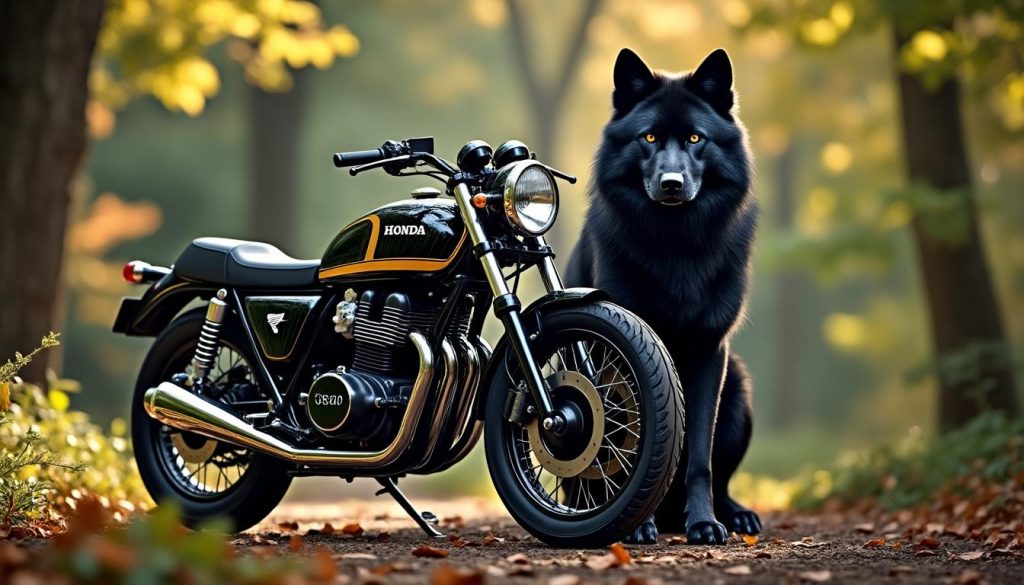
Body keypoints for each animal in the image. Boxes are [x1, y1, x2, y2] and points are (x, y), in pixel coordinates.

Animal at [565, 48, 761, 545]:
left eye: (695, 138)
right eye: (649, 137)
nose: (672, 183)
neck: (677, 245)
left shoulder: (710, 352)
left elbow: (698, 459)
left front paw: (705, 524)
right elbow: (633, 445)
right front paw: (637, 526)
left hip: (738, 392)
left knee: (721, 477)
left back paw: (734, 516)